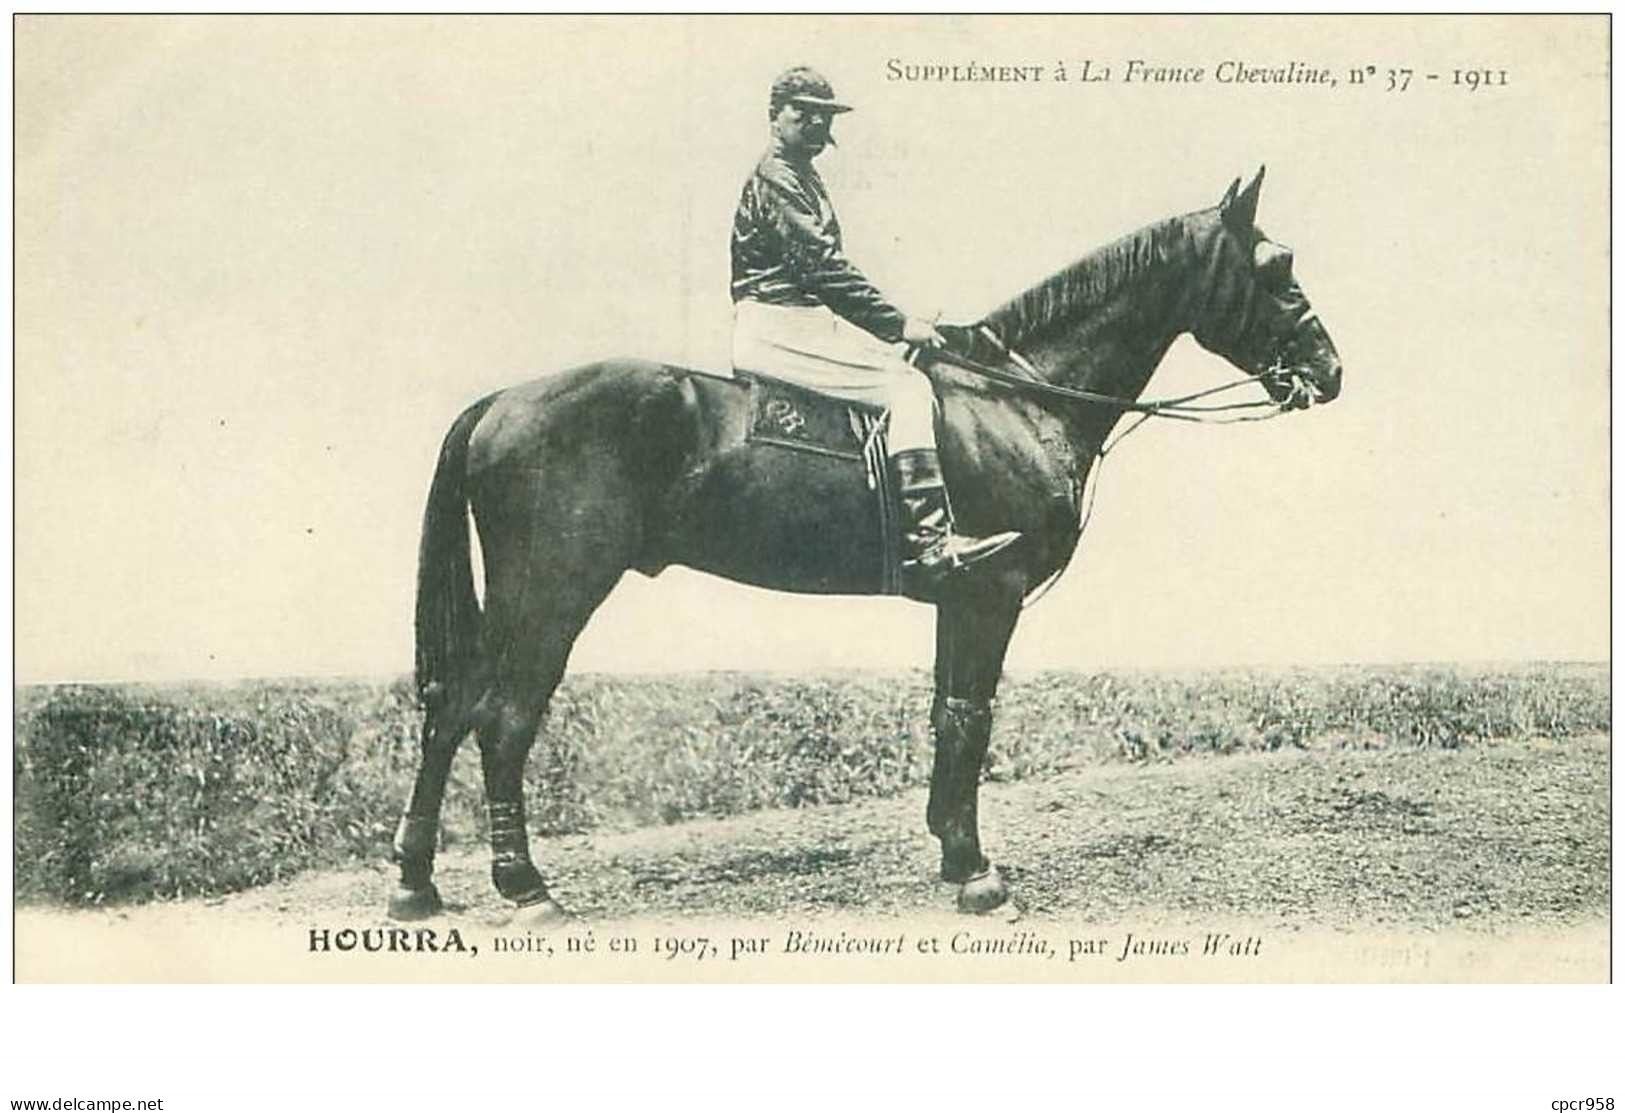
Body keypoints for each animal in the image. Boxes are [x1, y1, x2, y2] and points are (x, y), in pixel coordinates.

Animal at [386, 168, 1339, 922]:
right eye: (1276, 267)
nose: (1329, 371)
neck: (1016, 398)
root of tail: (502, 400)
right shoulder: (987, 592)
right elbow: (969, 715)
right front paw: (974, 871)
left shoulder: (961, 599)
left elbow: (949, 713)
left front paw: (951, 850)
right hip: (552, 590)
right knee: (502, 718)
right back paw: (524, 887)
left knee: (448, 710)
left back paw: (416, 884)